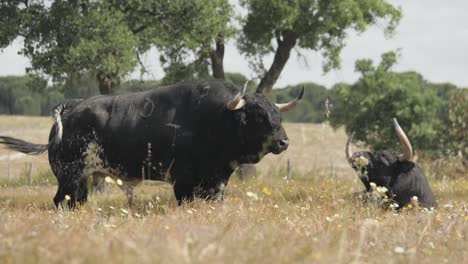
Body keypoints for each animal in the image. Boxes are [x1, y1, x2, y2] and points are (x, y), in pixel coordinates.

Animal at [0, 79, 306, 207]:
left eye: (278, 114)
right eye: (258, 115)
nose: (284, 142)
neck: (216, 118)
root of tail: (71, 107)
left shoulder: (216, 182)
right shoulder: (183, 181)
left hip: (82, 178)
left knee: (77, 201)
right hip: (69, 176)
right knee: (61, 201)